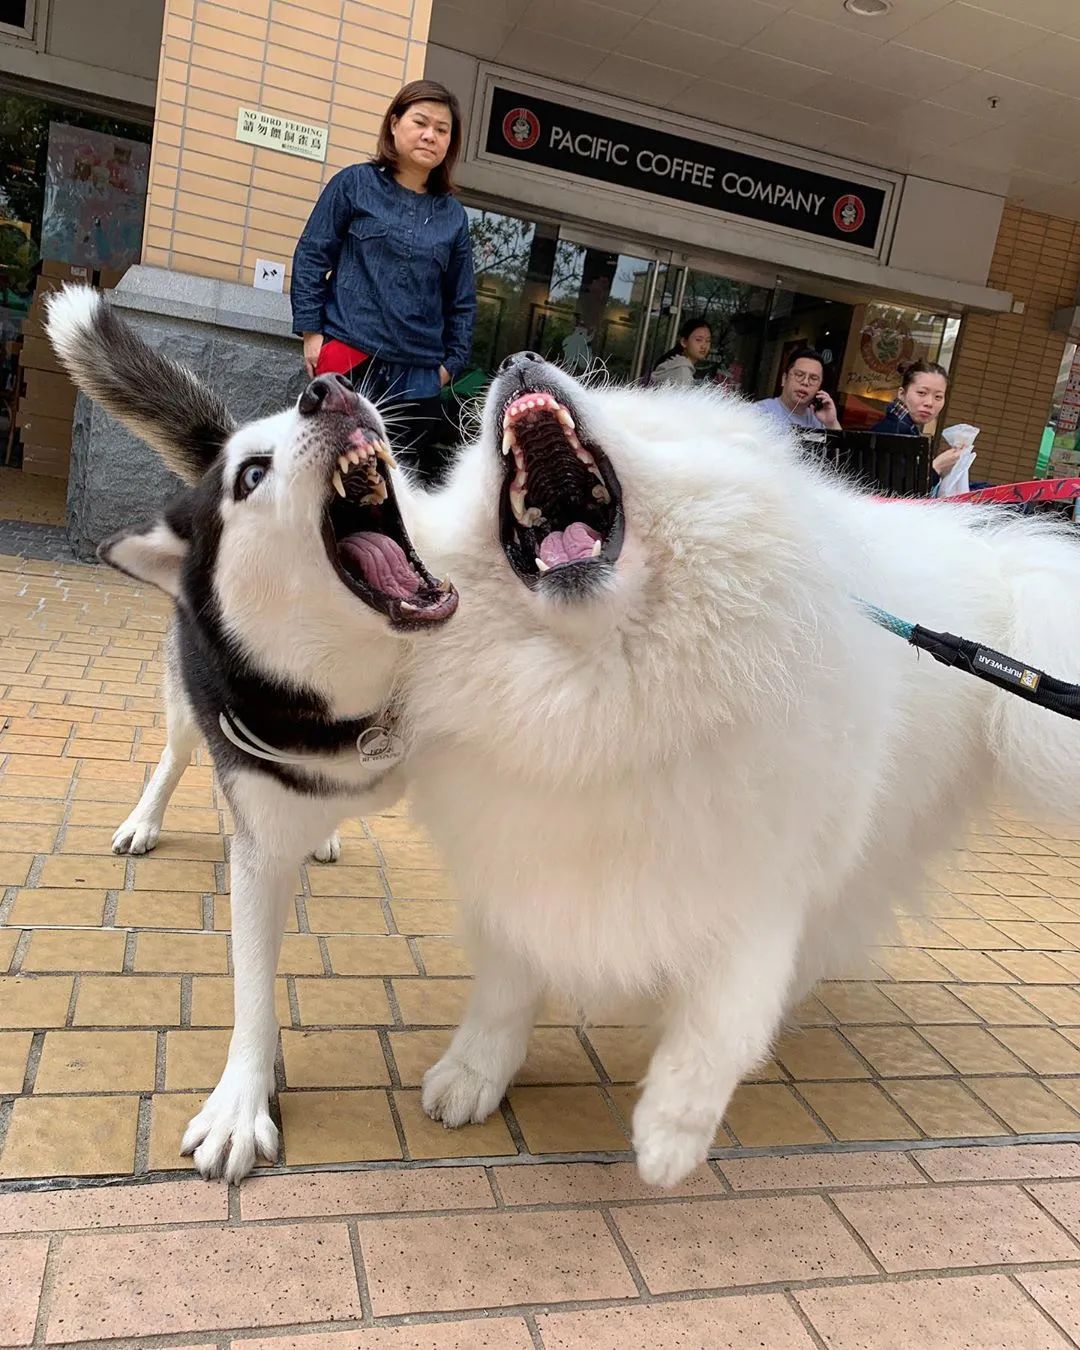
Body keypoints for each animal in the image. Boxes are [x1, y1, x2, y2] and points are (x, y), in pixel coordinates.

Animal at [46, 287, 456, 1182]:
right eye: (253, 476)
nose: (326, 390)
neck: (358, 699)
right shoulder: (259, 853)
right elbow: (253, 992)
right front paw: (241, 1101)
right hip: (182, 716)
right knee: (173, 756)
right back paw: (145, 819)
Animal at [399, 353, 1080, 1188]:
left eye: (642, 422)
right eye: (467, 475)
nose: (520, 360)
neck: (607, 702)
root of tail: (999, 558)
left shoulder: (758, 885)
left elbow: (722, 1023)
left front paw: (670, 1137)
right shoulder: (517, 873)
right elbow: (503, 993)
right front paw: (471, 1077)